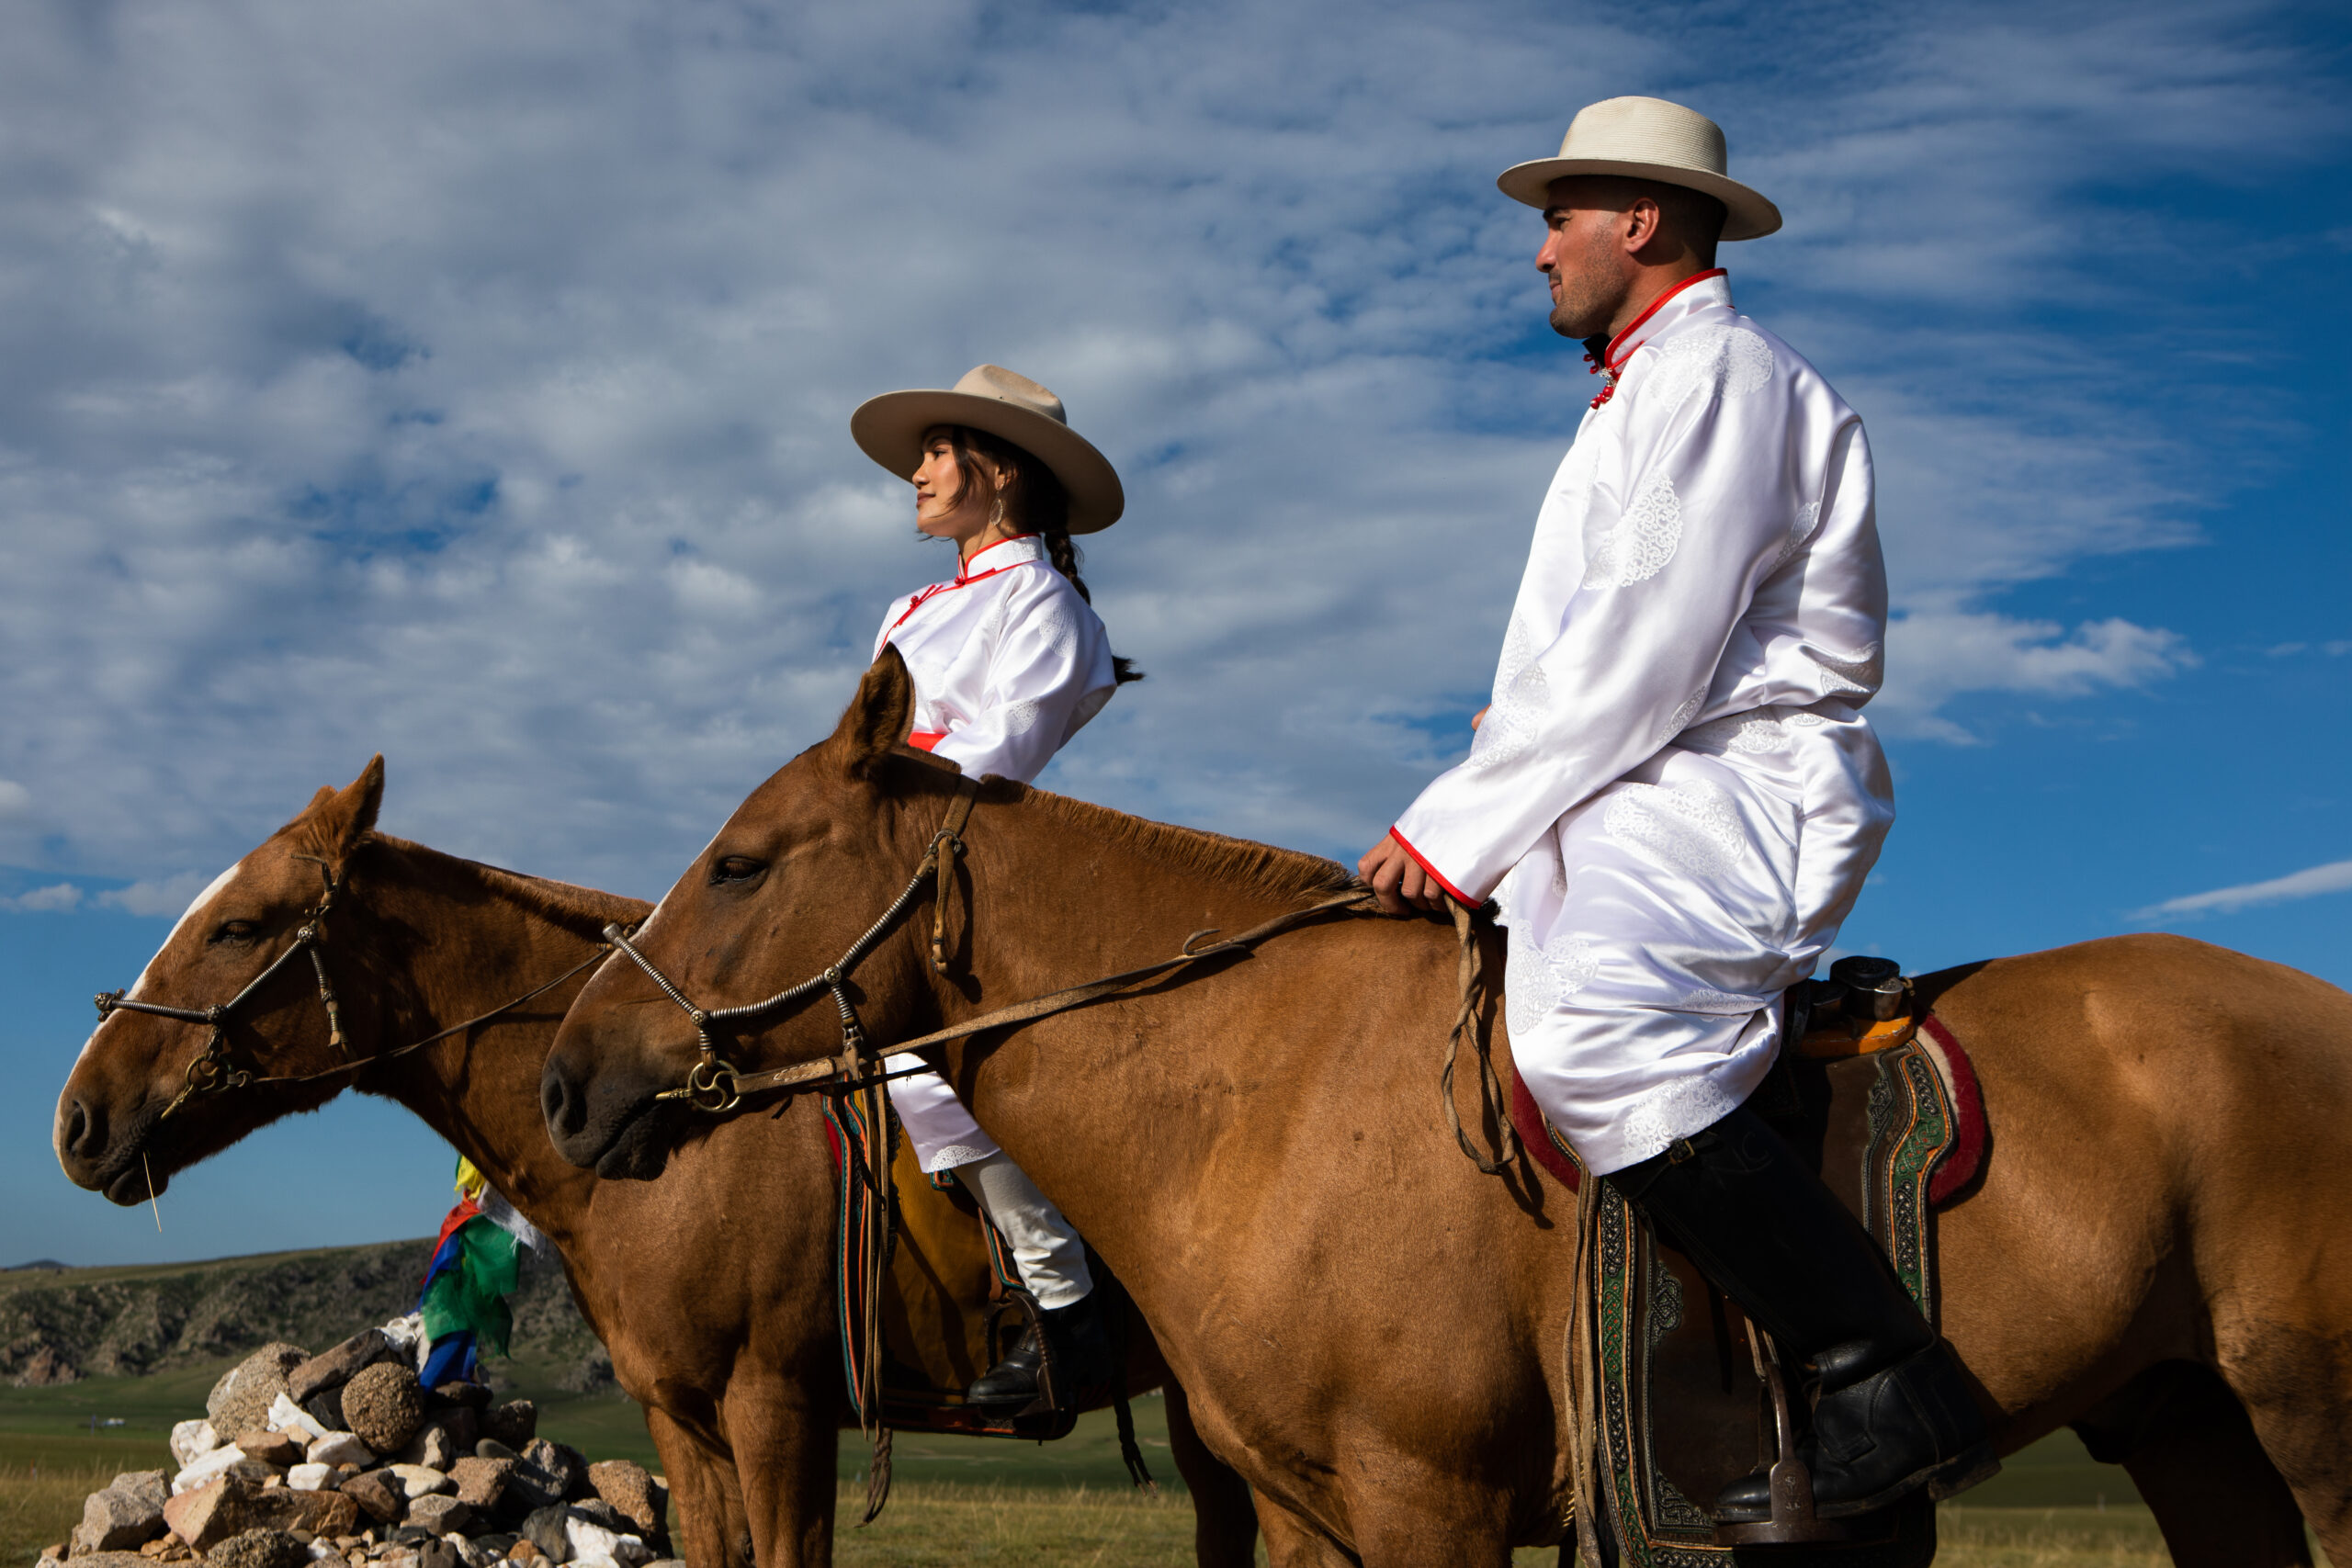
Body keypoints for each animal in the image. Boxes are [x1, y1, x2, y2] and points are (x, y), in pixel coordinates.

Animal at [540, 649, 2352, 1568]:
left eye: (742, 863)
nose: (570, 1076)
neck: (1253, 1092)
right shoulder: (1307, 1513)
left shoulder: (1436, 1505)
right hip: (2189, 1425)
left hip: (2309, 1423)